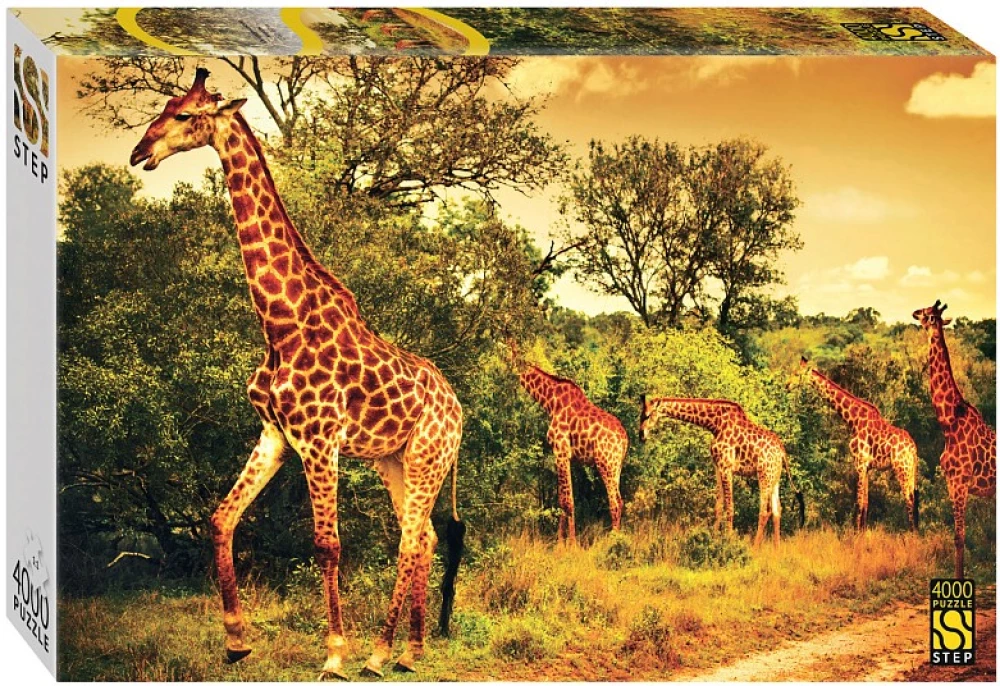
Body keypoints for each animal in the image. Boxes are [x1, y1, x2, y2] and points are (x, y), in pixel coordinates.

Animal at [129, 68, 466, 679]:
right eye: (163, 107)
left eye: (186, 115)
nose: (140, 151)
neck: (280, 324)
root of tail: (459, 408)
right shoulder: (275, 434)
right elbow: (220, 519)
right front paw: (237, 640)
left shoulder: (318, 439)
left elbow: (327, 544)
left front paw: (334, 654)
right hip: (394, 459)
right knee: (424, 536)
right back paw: (410, 650)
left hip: (429, 455)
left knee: (409, 541)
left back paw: (377, 654)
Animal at [508, 341, 628, 543]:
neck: (549, 401)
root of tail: (624, 439)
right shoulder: (566, 455)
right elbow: (562, 499)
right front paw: (559, 542)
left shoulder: (561, 450)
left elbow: (567, 501)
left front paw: (571, 544)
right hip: (617, 466)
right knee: (620, 499)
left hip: (605, 464)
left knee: (615, 501)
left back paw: (614, 541)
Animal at [639, 397, 804, 546]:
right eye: (641, 415)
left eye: (648, 415)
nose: (641, 436)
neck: (714, 424)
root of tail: (782, 452)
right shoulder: (718, 466)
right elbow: (718, 507)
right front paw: (713, 538)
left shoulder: (726, 467)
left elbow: (730, 507)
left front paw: (728, 541)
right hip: (774, 477)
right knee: (777, 510)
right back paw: (777, 547)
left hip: (764, 475)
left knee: (765, 511)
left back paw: (755, 547)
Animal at [788, 357, 919, 531]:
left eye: (797, 374)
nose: (787, 385)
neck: (853, 421)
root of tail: (913, 449)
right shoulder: (867, 467)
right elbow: (866, 503)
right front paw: (863, 532)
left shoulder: (860, 463)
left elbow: (859, 502)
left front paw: (856, 533)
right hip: (910, 469)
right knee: (914, 498)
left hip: (901, 468)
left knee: (909, 499)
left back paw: (912, 533)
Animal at [913, 300, 996, 578]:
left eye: (927, 313)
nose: (914, 312)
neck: (949, 421)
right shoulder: (951, 482)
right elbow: (956, 536)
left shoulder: (961, 482)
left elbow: (960, 537)